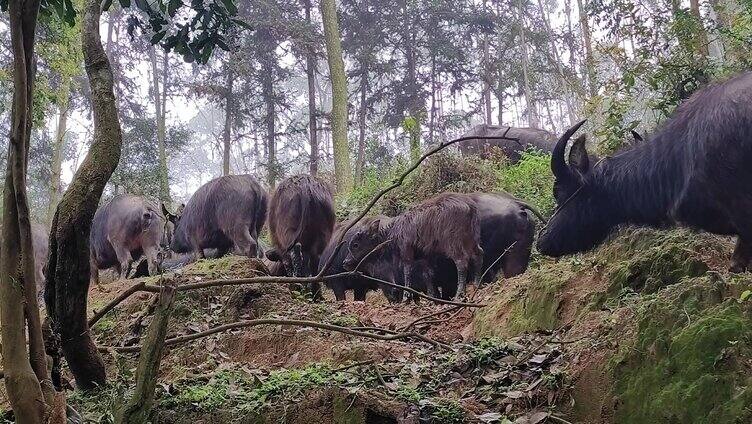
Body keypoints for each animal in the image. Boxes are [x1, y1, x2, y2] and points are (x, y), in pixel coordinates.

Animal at [346, 192, 484, 298]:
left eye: (355, 244)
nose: (345, 262)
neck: (393, 233)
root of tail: (470, 207)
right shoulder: (425, 255)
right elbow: (428, 274)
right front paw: (433, 296)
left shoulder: (406, 250)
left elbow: (407, 270)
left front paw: (407, 296)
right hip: (472, 238)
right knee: (478, 254)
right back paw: (477, 284)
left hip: (453, 241)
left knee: (461, 262)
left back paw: (459, 293)